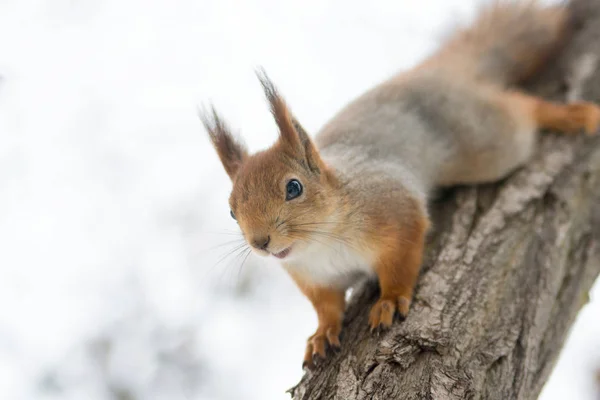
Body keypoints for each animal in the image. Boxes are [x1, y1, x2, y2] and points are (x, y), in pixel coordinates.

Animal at [200, 0, 600, 368]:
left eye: (294, 188)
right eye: (232, 212)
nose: (260, 242)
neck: (321, 242)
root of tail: (437, 70)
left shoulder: (395, 209)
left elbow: (401, 260)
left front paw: (390, 300)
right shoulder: (313, 276)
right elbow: (326, 306)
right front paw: (322, 333)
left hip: (488, 141)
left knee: (520, 108)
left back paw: (566, 115)